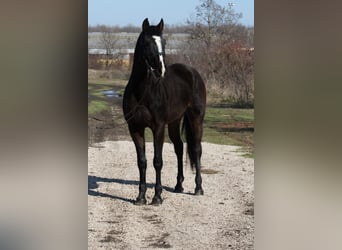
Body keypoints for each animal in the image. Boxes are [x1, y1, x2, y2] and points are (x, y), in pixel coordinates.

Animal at [123, 19, 206, 205]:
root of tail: (193, 72)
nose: (161, 70)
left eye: (164, 42)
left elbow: (157, 161)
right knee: (179, 147)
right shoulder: (135, 128)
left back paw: (198, 188)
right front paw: (141, 197)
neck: (142, 91)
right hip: (175, 121)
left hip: (196, 118)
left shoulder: (158, 127)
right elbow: (142, 161)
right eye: (147, 43)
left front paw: (157, 196)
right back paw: (178, 185)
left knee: (196, 149)